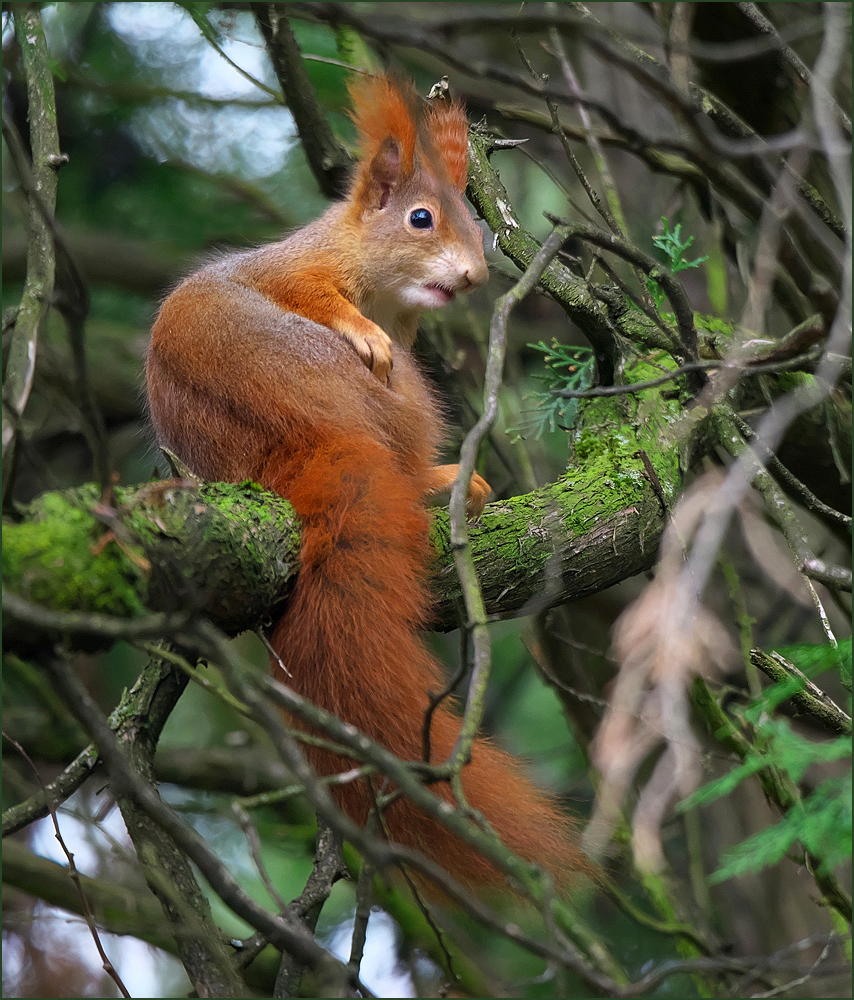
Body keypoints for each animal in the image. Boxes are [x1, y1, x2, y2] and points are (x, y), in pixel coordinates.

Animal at [145, 76, 588, 892]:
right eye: (420, 219)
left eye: (479, 226)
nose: (475, 277)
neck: (387, 293)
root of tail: (294, 435)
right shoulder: (300, 271)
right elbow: (320, 296)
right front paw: (366, 334)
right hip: (397, 396)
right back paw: (443, 478)